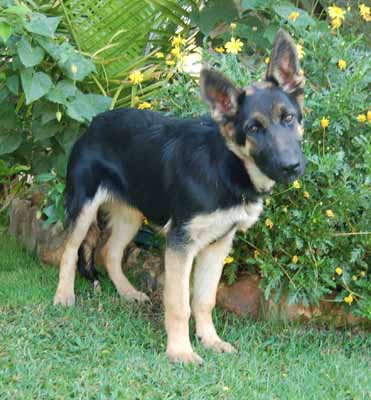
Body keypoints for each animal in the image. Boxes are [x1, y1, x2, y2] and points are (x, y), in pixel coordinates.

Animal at [53, 29, 306, 364]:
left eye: (288, 118)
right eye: (254, 128)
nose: (291, 167)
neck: (226, 167)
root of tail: (94, 122)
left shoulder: (217, 244)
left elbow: (204, 299)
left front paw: (210, 340)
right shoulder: (180, 245)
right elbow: (179, 303)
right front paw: (180, 351)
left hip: (131, 214)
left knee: (110, 252)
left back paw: (127, 292)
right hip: (84, 207)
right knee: (70, 250)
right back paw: (63, 296)